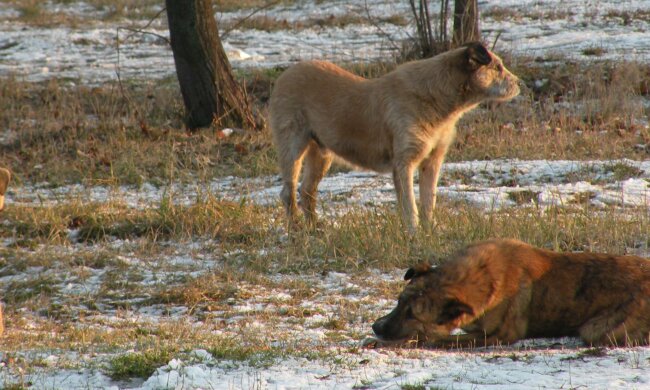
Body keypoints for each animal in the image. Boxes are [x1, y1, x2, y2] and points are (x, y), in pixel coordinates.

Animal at [268, 42, 516, 232]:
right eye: (497, 67)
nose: (519, 84)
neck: (436, 98)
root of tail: (285, 75)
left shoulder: (432, 162)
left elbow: (428, 201)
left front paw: (430, 232)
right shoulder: (404, 163)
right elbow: (410, 206)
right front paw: (413, 235)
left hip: (321, 153)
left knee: (307, 191)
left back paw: (315, 230)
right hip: (293, 146)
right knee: (288, 192)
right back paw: (297, 231)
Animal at [370, 238, 648, 348]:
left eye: (412, 315)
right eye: (398, 302)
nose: (375, 327)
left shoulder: (498, 336)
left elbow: (433, 338)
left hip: (597, 329)